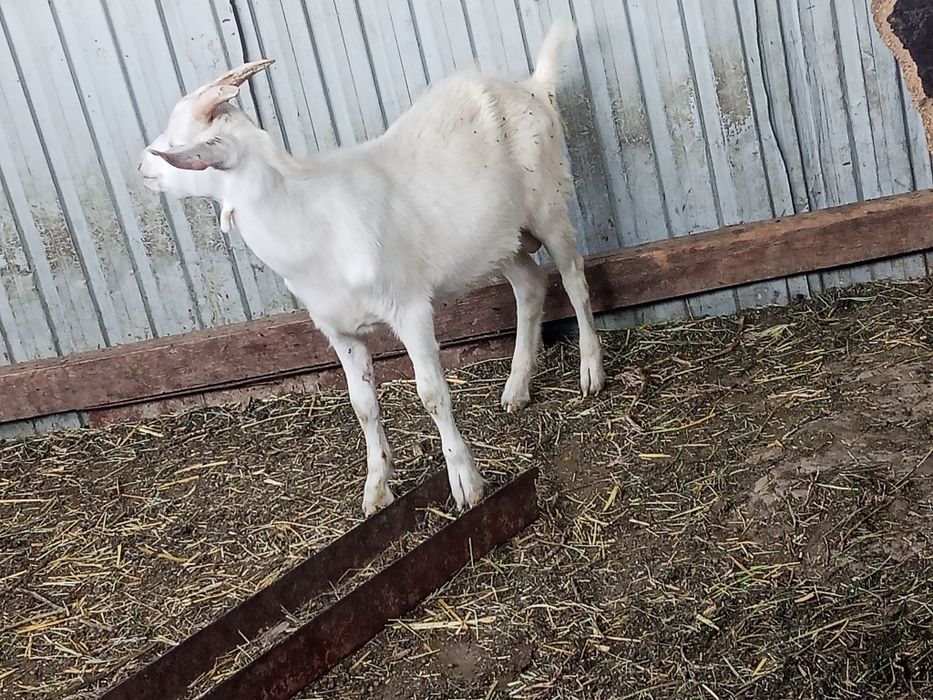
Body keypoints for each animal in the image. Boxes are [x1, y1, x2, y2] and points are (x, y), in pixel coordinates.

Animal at [138, 21, 605, 515]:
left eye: (177, 141)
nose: (141, 165)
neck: (311, 220)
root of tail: (534, 86)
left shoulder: (410, 308)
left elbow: (431, 393)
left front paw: (465, 482)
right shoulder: (339, 330)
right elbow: (362, 404)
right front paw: (377, 488)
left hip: (549, 206)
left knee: (574, 279)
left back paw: (590, 372)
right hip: (500, 240)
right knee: (531, 285)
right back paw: (516, 387)